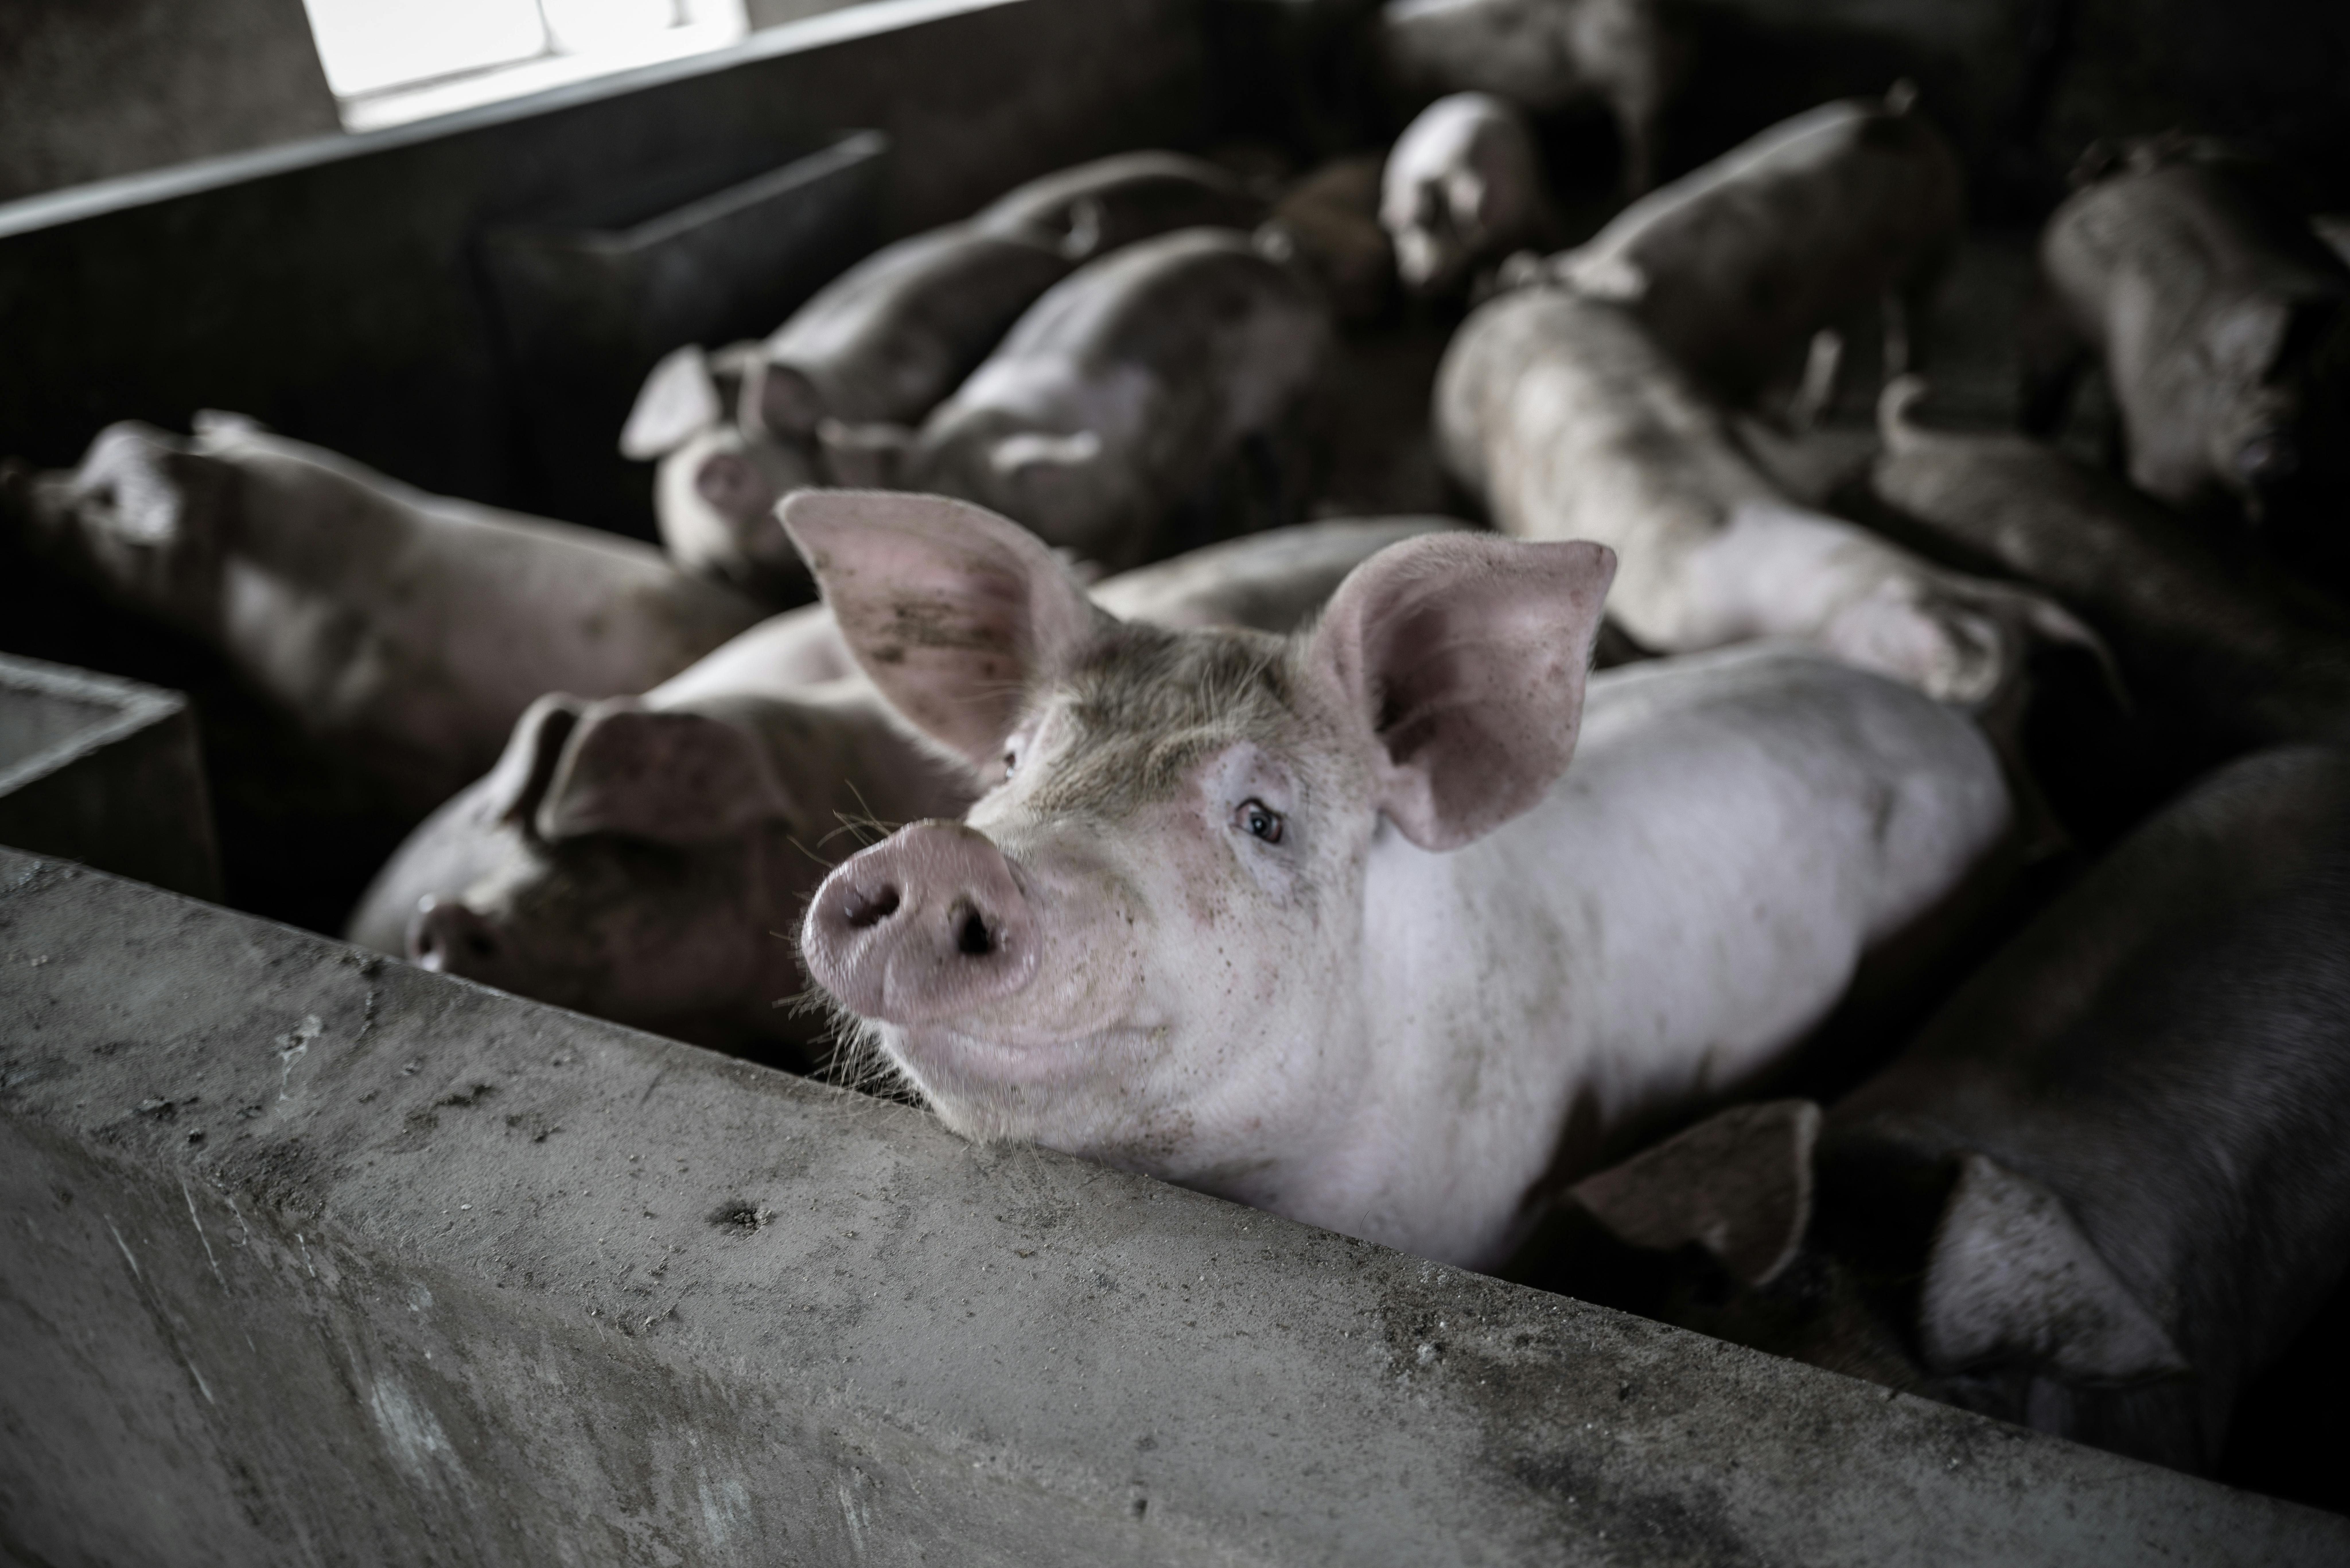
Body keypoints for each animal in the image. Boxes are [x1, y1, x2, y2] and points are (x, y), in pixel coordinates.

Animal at [819, 229, 1333, 571]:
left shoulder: (1134, 514)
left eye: (988, 512)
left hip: (1289, 393)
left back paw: (1279, 524)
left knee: (1280, 462)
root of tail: (1273, 259)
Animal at [1548, 85, 1963, 419]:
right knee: (1841, 331)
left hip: (1939, 238)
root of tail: (1901, 108)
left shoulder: (1756, 342)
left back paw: (1906, 388)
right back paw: (1812, 413)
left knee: (1911, 312)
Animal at [2021, 138, 2350, 527]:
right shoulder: (2169, 473)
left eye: (2325, 398)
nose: (2276, 447)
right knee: (2045, 395)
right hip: (2047, 314)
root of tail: (2120, 168)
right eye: (2240, 383)